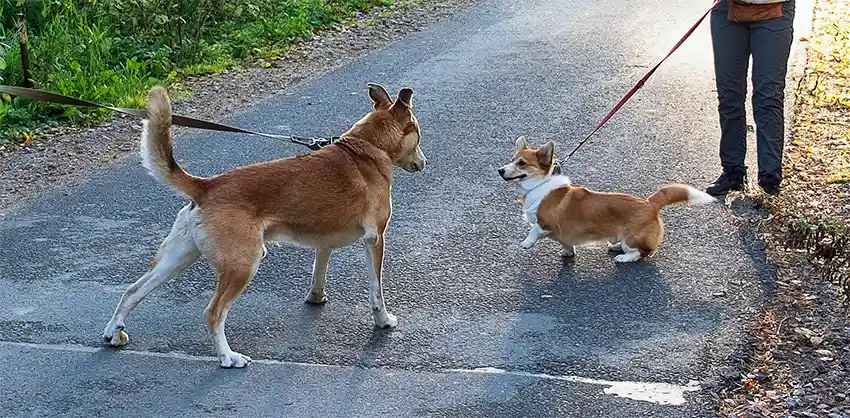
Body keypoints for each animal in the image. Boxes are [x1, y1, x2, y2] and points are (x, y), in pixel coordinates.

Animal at [103, 83, 428, 368]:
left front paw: (316, 297)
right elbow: (377, 291)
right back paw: (228, 357)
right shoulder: (375, 240)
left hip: (177, 258)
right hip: (243, 264)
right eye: (419, 134)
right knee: (213, 313)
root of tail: (207, 186)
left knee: (133, 290)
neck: (367, 148)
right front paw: (383, 320)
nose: (424, 163)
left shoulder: (324, 241)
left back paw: (113, 333)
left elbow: (319, 271)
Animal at [496, 137, 716, 262]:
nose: (500, 170)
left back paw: (623, 257)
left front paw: (526, 243)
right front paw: (568, 253)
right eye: (511, 160)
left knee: (642, 252)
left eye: (522, 163)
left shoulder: (543, 222)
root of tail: (650, 203)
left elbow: (533, 229)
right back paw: (616, 246)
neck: (540, 186)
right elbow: (567, 244)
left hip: (632, 238)